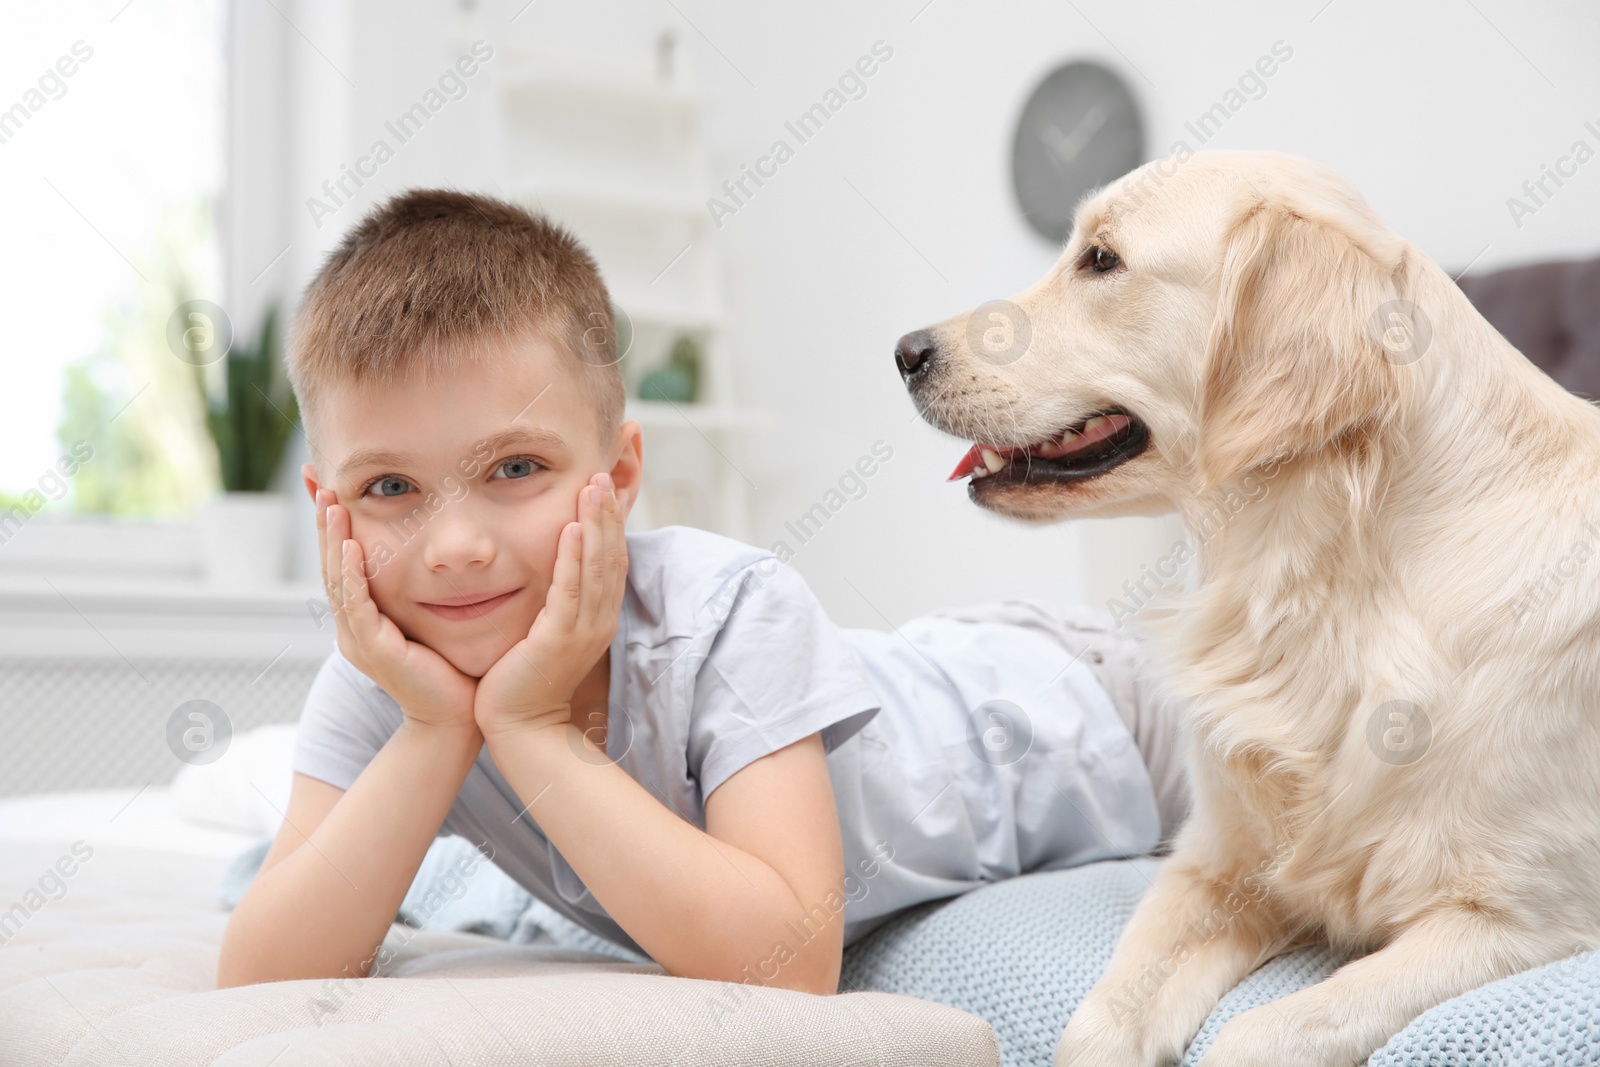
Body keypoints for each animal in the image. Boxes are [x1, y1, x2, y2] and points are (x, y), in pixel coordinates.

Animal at [896, 151, 1600, 1067]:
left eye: (1101, 260)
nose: (905, 351)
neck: (1317, 581)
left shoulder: (1527, 921)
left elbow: (1264, 1029)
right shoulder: (1216, 866)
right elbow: (1099, 1022)